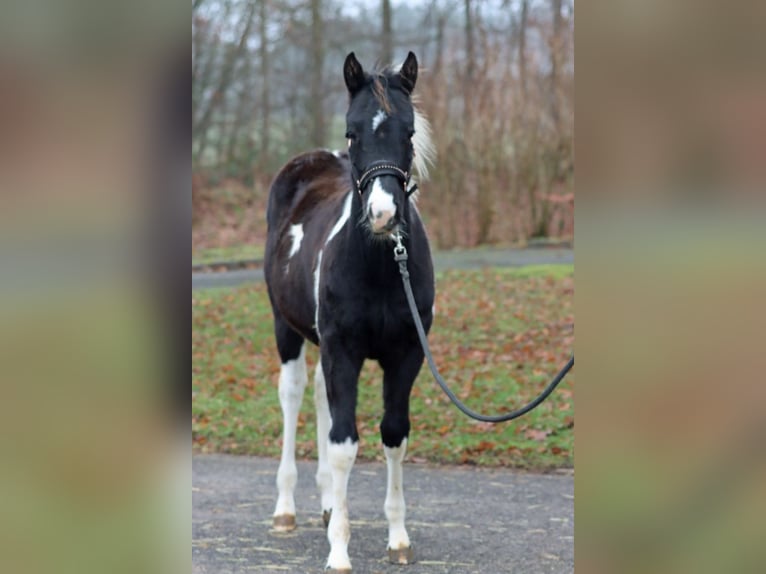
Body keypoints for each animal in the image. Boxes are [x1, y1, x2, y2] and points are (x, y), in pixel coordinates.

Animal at [264, 51, 436, 572]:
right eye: (352, 131)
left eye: (409, 132)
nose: (383, 214)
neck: (381, 264)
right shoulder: (343, 350)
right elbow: (343, 445)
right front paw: (338, 550)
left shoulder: (406, 355)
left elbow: (394, 434)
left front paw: (398, 538)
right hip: (288, 329)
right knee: (294, 394)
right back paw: (286, 509)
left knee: (322, 396)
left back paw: (324, 504)